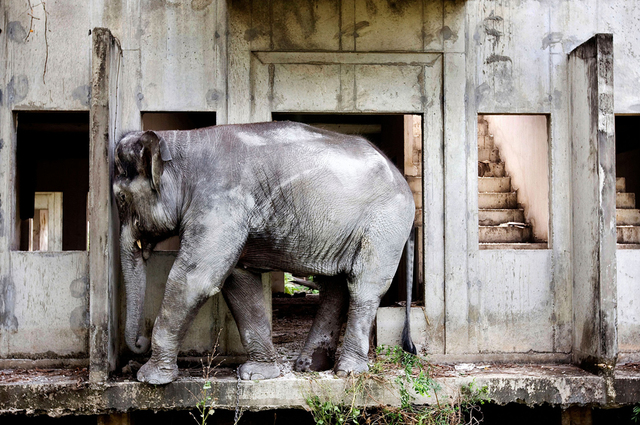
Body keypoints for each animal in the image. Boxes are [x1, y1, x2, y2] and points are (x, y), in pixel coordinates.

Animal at [113, 120, 418, 384]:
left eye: (121, 198)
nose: (138, 343)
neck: (179, 143)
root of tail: (402, 179)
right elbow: (238, 282)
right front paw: (256, 375)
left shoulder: (220, 202)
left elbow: (194, 279)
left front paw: (149, 379)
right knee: (336, 286)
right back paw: (309, 366)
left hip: (385, 224)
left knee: (363, 287)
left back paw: (347, 371)